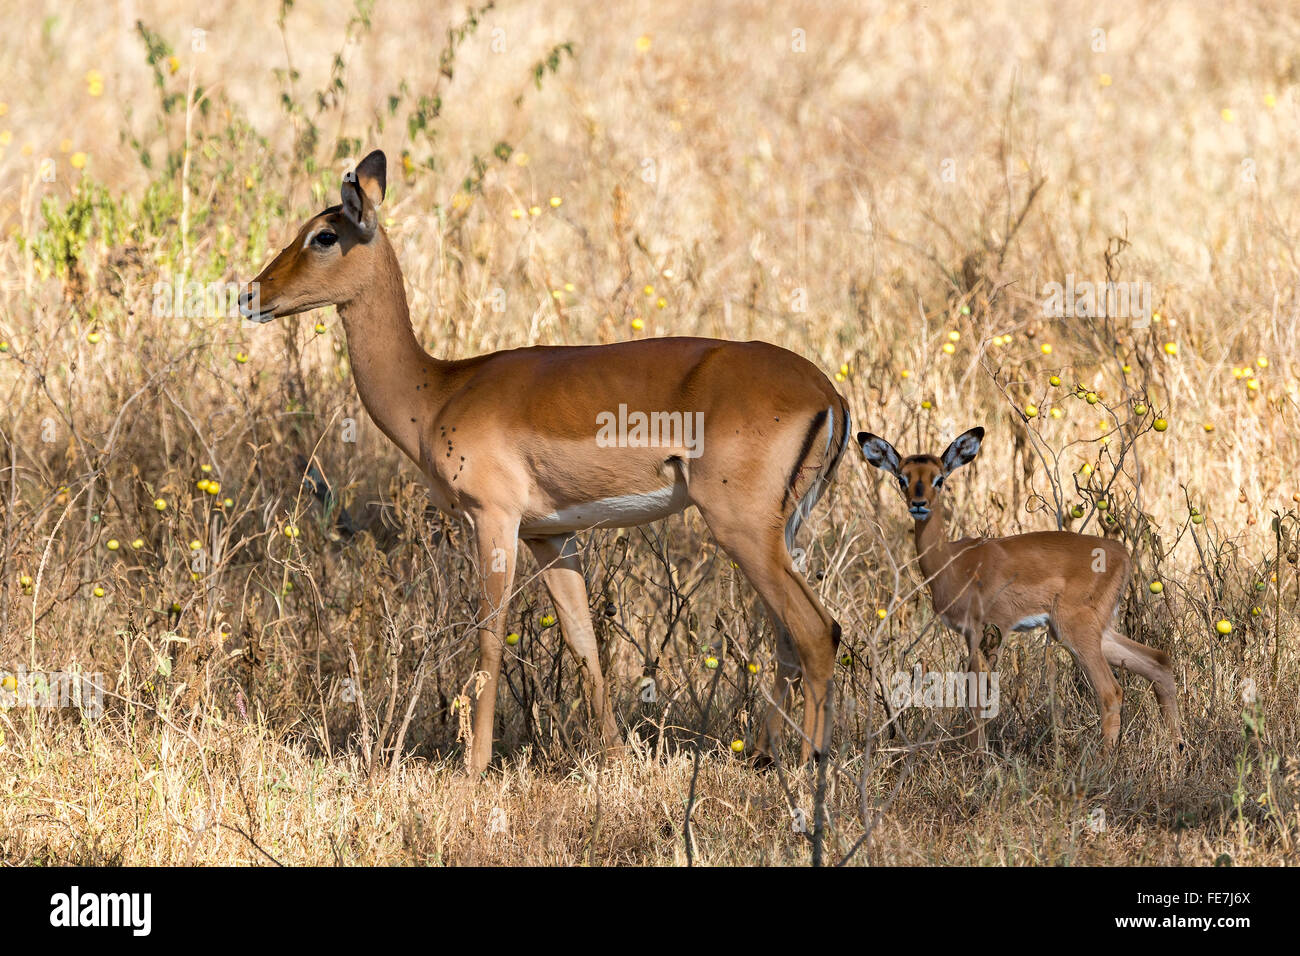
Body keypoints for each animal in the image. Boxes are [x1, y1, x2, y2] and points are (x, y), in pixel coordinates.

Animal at [240, 150, 851, 774]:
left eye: (324, 234)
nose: (249, 295)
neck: (436, 390)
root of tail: (828, 394)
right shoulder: (550, 536)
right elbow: (584, 641)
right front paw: (615, 757)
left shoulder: (494, 519)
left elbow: (490, 635)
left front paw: (474, 767)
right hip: (781, 531)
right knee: (788, 636)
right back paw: (765, 755)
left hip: (741, 527)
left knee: (816, 630)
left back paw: (810, 765)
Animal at [856, 426, 1181, 753]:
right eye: (902, 478)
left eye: (940, 478)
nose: (919, 504)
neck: (952, 563)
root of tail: (1122, 554)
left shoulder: (985, 632)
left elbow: (977, 701)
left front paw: (978, 757)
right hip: (1094, 631)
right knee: (1159, 663)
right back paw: (1176, 749)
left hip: (1076, 630)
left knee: (1111, 691)